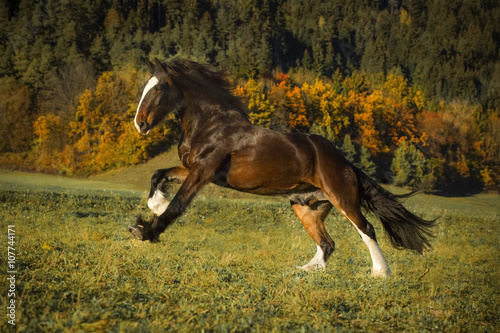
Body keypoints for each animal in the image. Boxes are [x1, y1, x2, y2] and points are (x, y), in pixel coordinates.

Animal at [128, 58, 434, 276]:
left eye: (159, 87)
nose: (139, 124)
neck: (210, 123)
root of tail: (345, 161)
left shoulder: (203, 171)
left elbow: (178, 204)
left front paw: (146, 230)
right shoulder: (196, 169)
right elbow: (158, 176)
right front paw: (154, 206)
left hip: (342, 197)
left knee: (366, 229)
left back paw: (380, 273)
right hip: (305, 206)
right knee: (327, 243)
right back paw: (305, 270)